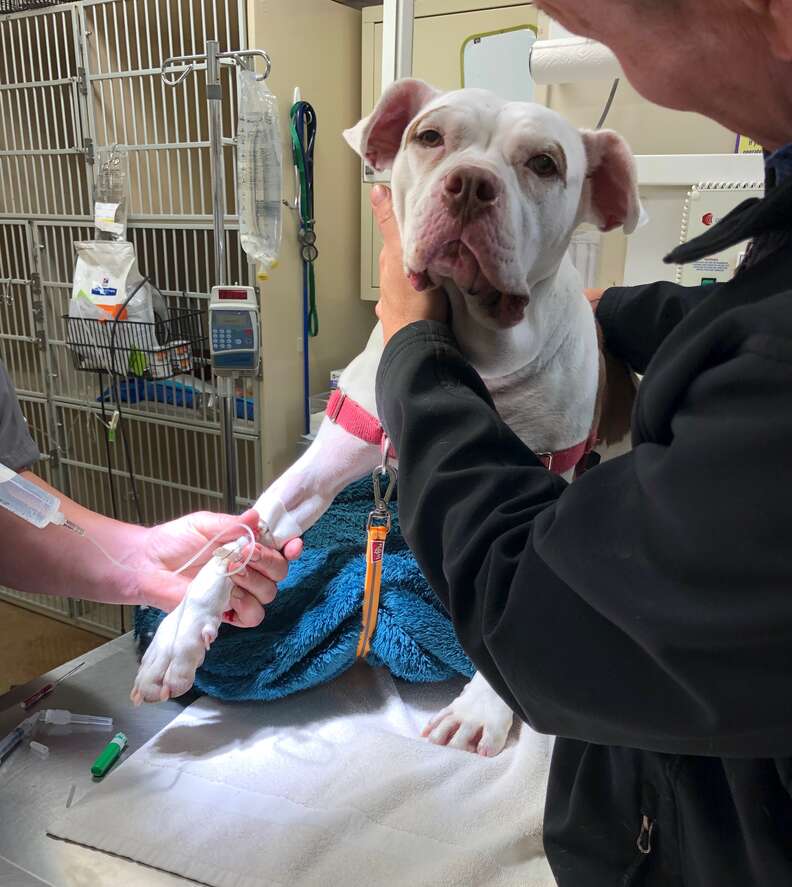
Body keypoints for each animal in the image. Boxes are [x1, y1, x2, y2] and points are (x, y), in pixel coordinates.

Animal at [133, 80, 640, 756]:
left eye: (545, 163)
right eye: (429, 136)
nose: (470, 184)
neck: (476, 357)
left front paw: (482, 706)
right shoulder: (325, 461)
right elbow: (243, 531)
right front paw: (179, 635)